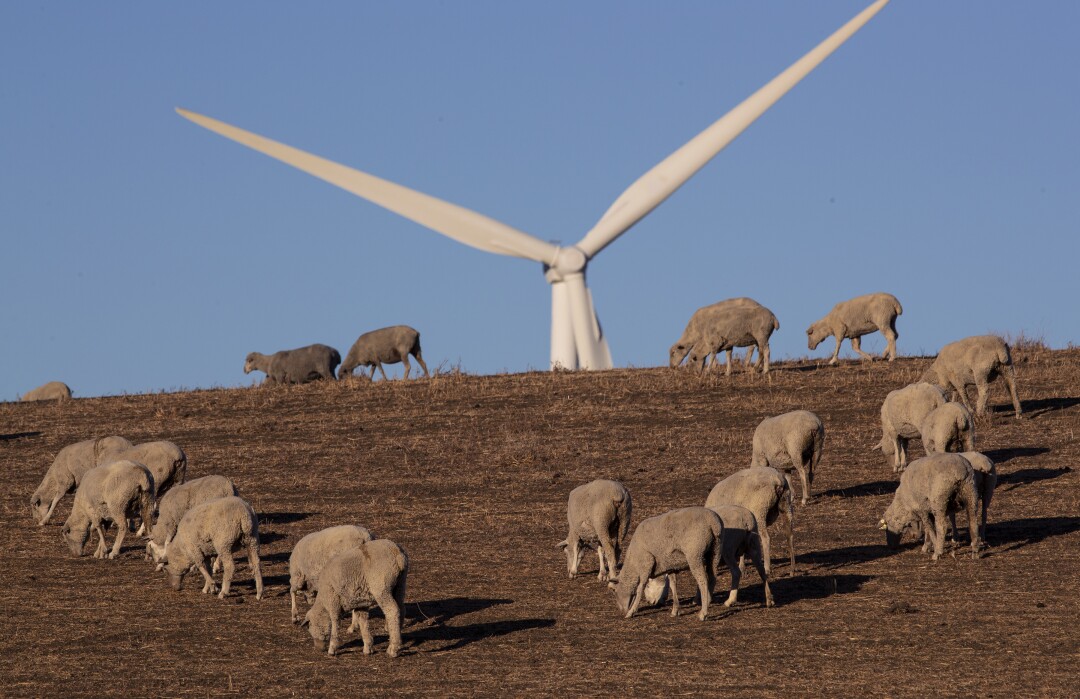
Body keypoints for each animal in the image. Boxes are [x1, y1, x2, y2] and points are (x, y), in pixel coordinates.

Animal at [644, 504, 774, 610]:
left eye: (648, 584)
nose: (649, 602)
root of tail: (746, 520)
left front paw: (700, 599)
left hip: (729, 549)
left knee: (736, 572)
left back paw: (730, 601)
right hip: (754, 545)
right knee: (762, 571)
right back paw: (769, 600)